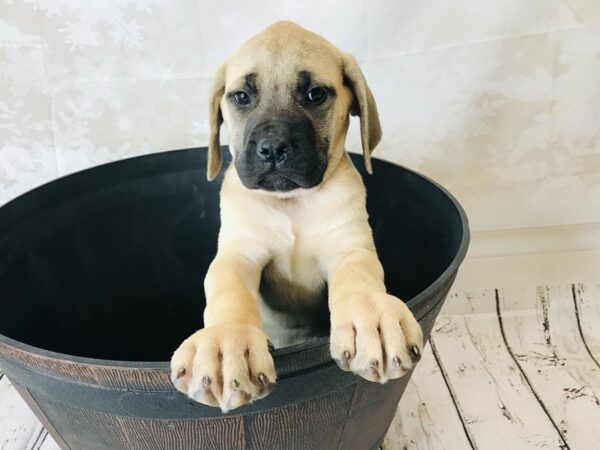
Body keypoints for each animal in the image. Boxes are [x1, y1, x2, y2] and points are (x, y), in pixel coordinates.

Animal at [169, 22, 422, 414]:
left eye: (316, 94)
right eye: (241, 96)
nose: (273, 148)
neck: (291, 204)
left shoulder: (348, 246)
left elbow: (359, 276)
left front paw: (371, 317)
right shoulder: (238, 254)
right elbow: (228, 290)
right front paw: (226, 342)